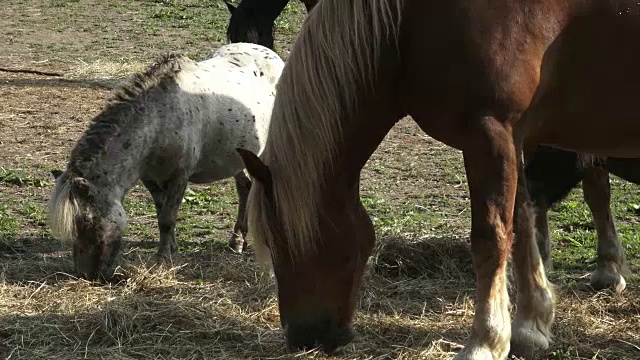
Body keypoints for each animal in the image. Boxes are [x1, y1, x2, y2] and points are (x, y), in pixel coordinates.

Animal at [47, 42, 282, 280]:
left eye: (87, 222)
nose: (85, 274)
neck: (159, 120)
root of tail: (270, 54)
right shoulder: (149, 178)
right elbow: (162, 214)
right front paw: (171, 246)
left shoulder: (180, 176)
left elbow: (168, 217)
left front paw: (163, 256)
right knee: (245, 189)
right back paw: (237, 241)